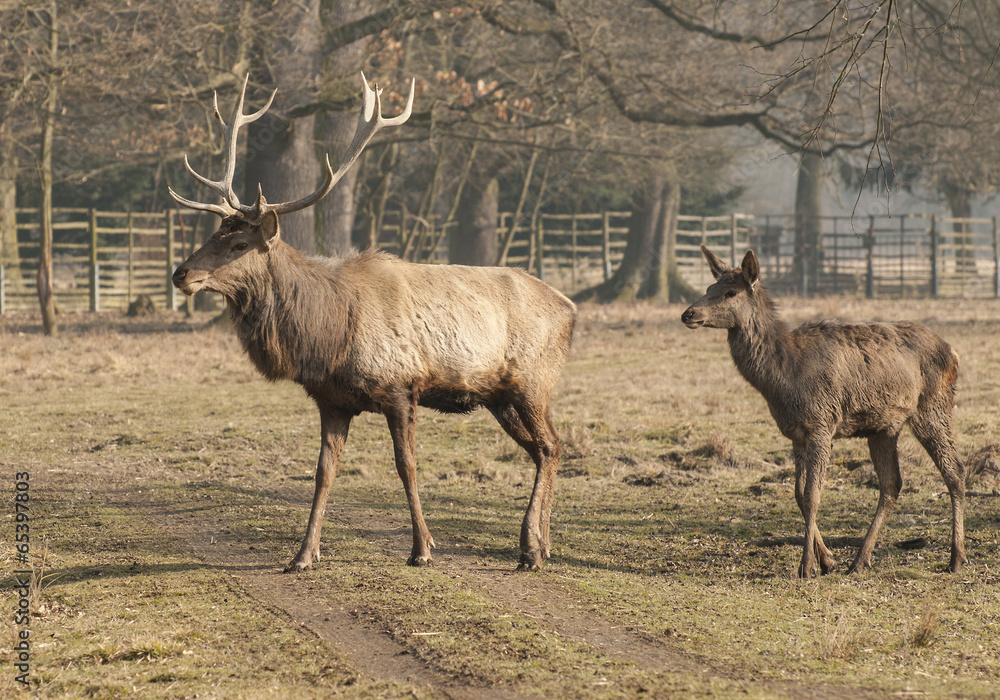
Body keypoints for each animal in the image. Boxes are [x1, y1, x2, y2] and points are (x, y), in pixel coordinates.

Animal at [168, 74, 577, 573]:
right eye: (215, 233)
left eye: (239, 242)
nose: (181, 273)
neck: (328, 337)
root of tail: (571, 308)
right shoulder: (331, 399)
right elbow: (323, 472)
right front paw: (303, 555)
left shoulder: (401, 388)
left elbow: (407, 466)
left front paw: (422, 548)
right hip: (499, 396)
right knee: (544, 448)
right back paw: (541, 543)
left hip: (533, 381)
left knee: (551, 446)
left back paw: (531, 549)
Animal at [681, 245, 966, 578]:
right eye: (708, 288)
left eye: (730, 292)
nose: (688, 313)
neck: (783, 380)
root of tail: (953, 352)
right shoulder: (796, 433)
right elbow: (798, 494)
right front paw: (827, 560)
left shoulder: (821, 423)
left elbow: (813, 495)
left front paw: (807, 566)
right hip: (883, 427)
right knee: (892, 484)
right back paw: (859, 560)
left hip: (933, 406)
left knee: (954, 471)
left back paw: (956, 557)